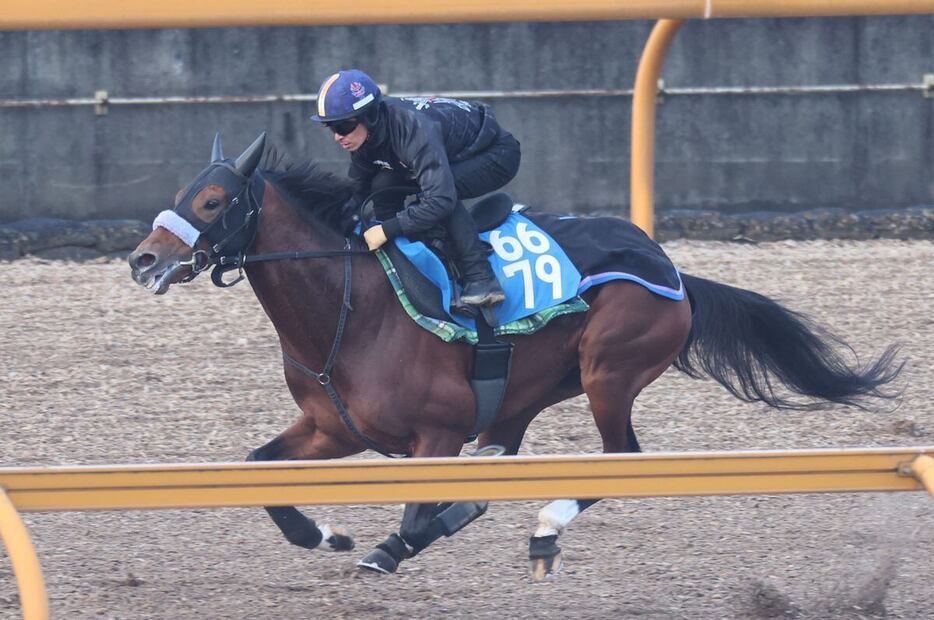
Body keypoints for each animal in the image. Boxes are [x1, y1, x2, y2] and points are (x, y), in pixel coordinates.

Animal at [128, 133, 904, 580]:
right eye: (178, 194)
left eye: (212, 200)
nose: (143, 259)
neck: (351, 309)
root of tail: (673, 268)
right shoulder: (333, 430)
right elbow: (260, 471)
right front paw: (327, 534)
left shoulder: (436, 434)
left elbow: (421, 514)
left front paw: (395, 543)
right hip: (535, 387)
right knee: (518, 445)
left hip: (608, 369)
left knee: (621, 457)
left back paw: (545, 525)